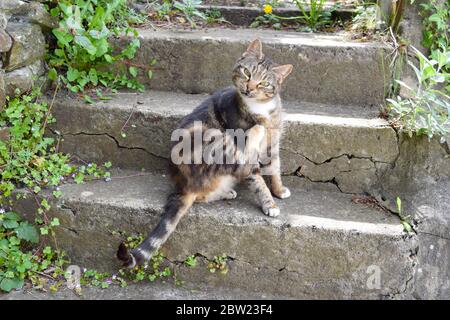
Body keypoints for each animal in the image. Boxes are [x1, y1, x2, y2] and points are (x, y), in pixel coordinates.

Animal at [117, 38, 292, 268]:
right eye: (247, 72)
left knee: (203, 194)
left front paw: (279, 191)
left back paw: (226, 191)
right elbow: (258, 179)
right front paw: (270, 204)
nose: (249, 88)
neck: (263, 109)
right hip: (216, 141)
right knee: (239, 162)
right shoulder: (248, 146)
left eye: (264, 83)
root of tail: (185, 186)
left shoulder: (273, 144)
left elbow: (276, 168)